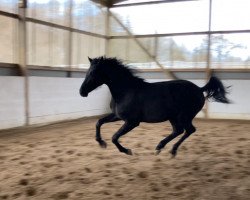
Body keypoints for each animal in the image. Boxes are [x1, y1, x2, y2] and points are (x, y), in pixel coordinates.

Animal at [79, 55, 229, 156]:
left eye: (93, 73)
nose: (82, 92)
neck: (126, 91)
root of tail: (199, 89)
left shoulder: (132, 122)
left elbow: (114, 137)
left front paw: (127, 151)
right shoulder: (117, 116)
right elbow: (99, 122)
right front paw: (101, 143)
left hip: (184, 116)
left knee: (189, 130)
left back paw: (169, 149)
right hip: (174, 117)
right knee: (179, 131)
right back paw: (161, 147)